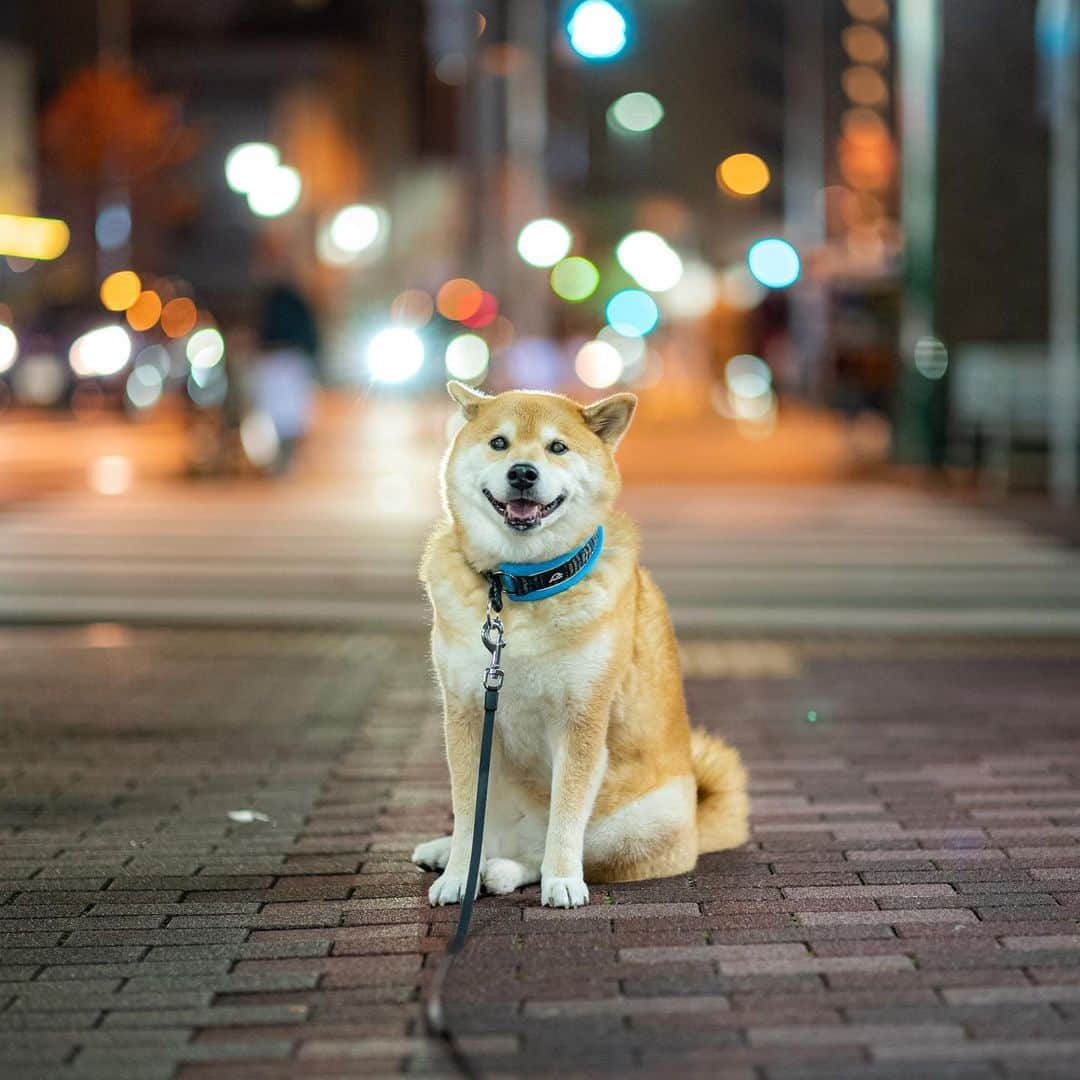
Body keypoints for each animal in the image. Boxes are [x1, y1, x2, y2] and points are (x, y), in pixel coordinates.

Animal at [412, 384, 751, 907]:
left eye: (557, 447)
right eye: (499, 443)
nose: (523, 472)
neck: (519, 586)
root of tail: (697, 826)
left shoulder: (581, 718)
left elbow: (566, 816)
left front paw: (562, 882)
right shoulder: (467, 711)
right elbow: (468, 813)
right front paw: (456, 876)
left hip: (638, 820)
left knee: (552, 852)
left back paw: (506, 872)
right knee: (494, 835)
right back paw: (449, 853)